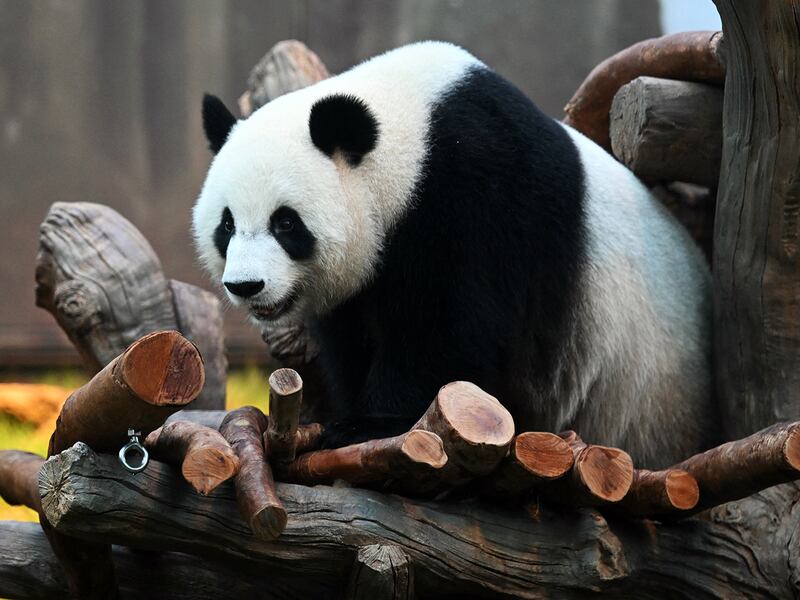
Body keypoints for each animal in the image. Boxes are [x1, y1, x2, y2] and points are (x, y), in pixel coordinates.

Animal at [192, 42, 712, 468]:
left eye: (286, 223)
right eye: (227, 224)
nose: (246, 286)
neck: (409, 144)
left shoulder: (478, 196)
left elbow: (448, 335)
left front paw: (368, 424)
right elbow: (352, 336)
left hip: (652, 400)